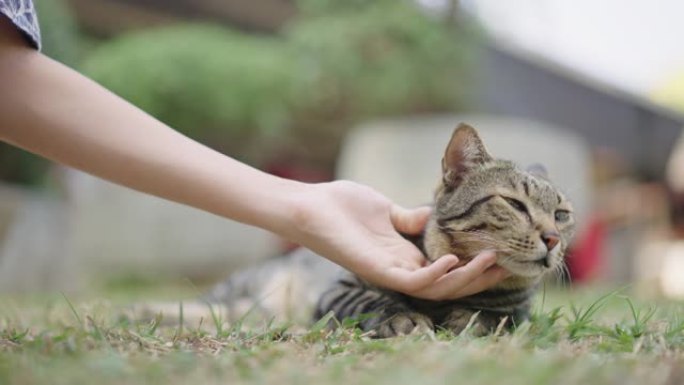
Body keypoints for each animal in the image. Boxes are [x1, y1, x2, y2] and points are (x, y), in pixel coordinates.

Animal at [199, 123, 576, 336]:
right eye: (514, 205)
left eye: (561, 215)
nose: (552, 238)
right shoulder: (337, 289)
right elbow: (370, 299)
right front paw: (403, 316)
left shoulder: (520, 307)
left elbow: (506, 315)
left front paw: (473, 318)